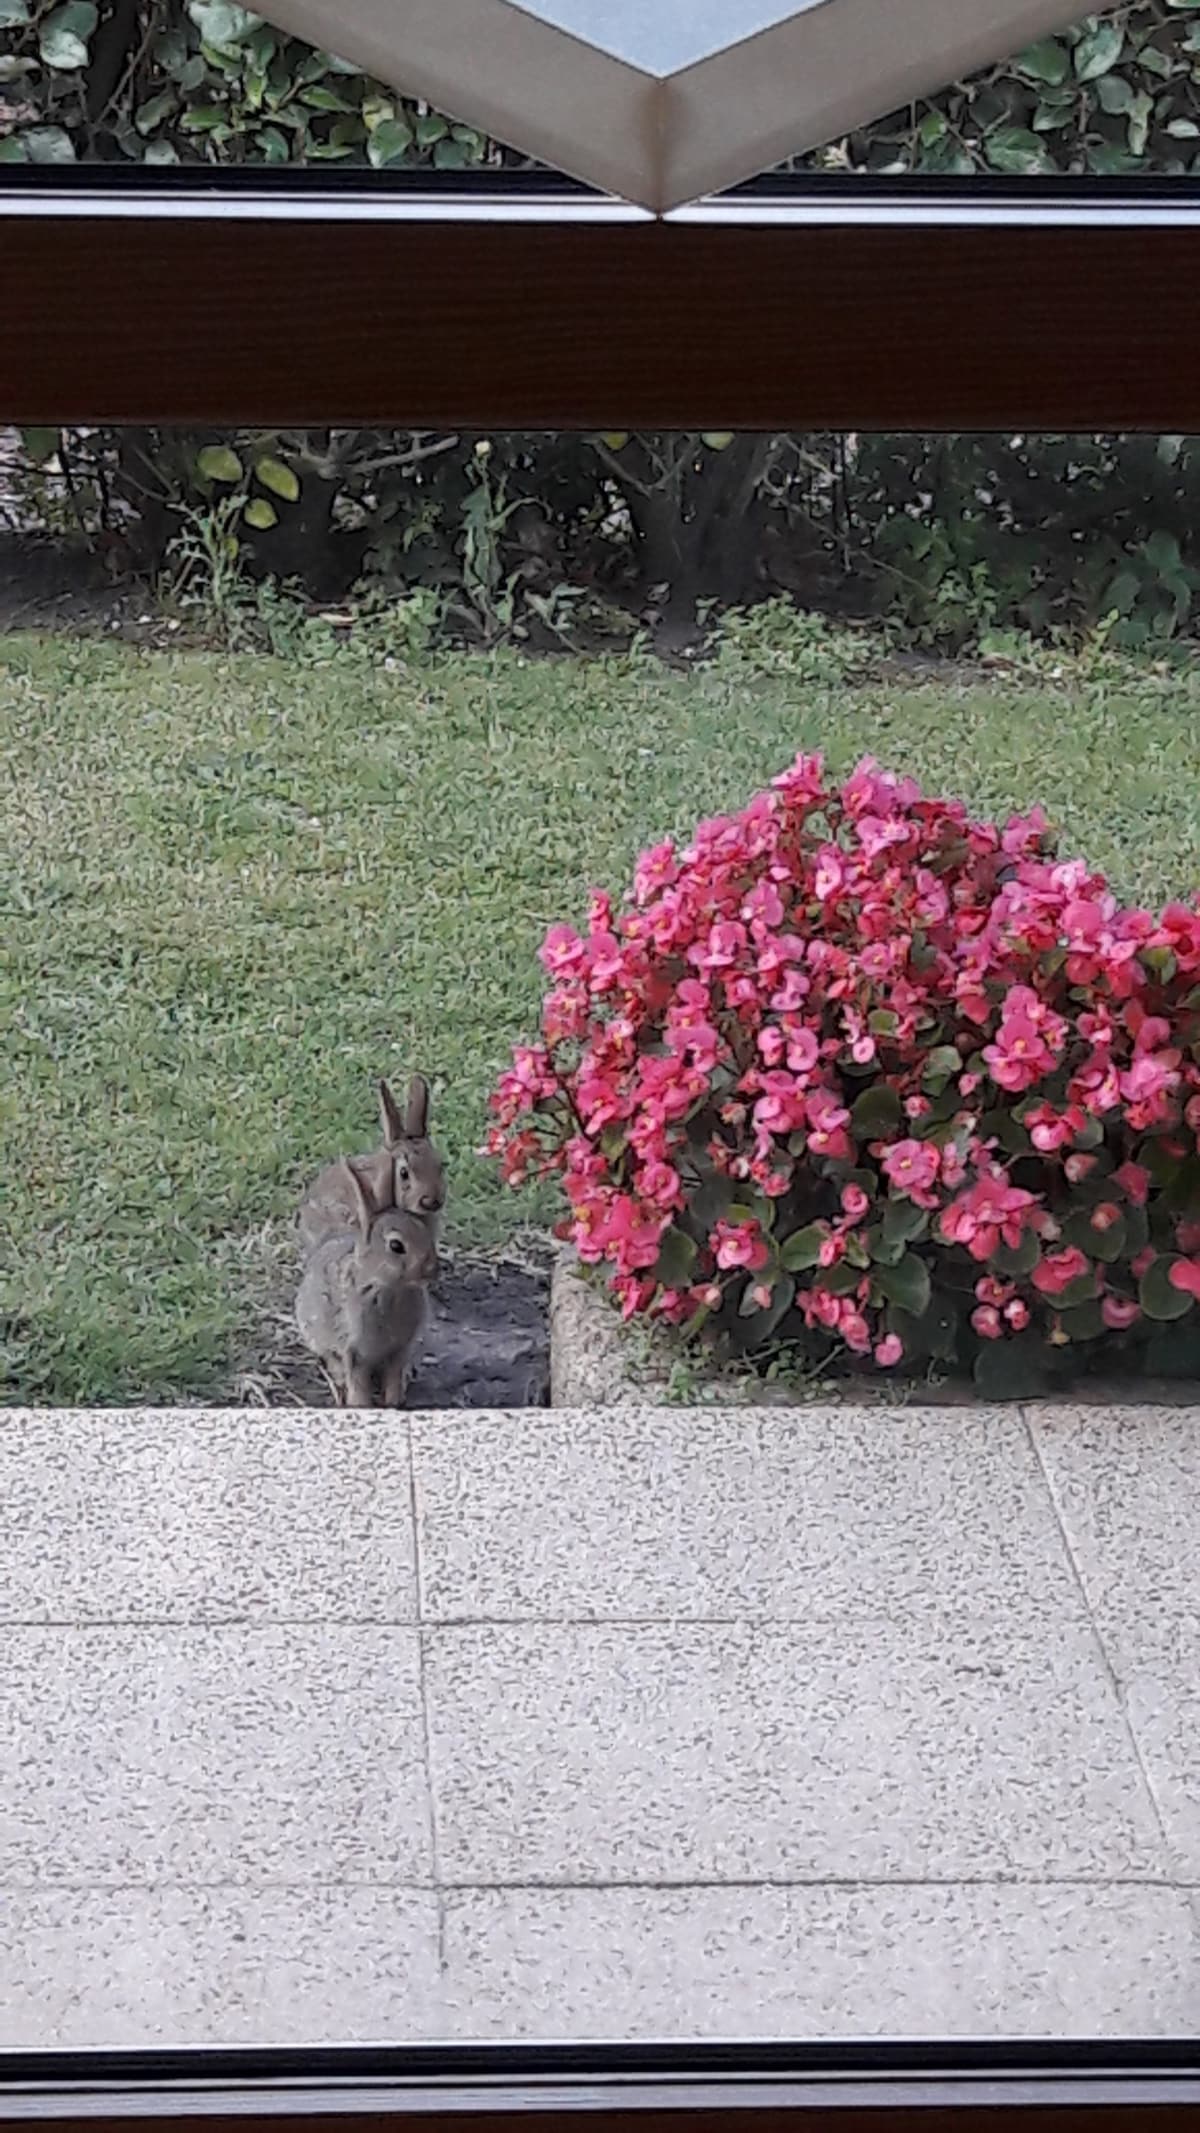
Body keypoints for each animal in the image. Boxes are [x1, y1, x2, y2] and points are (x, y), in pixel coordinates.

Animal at [294, 1160, 436, 1407]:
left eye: (424, 1231)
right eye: (396, 1246)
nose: (433, 1270)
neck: (387, 1286)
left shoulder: (400, 1348)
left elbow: (394, 1374)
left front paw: (394, 1401)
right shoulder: (353, 1348)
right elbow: (357, 1380)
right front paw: (361, 1405)